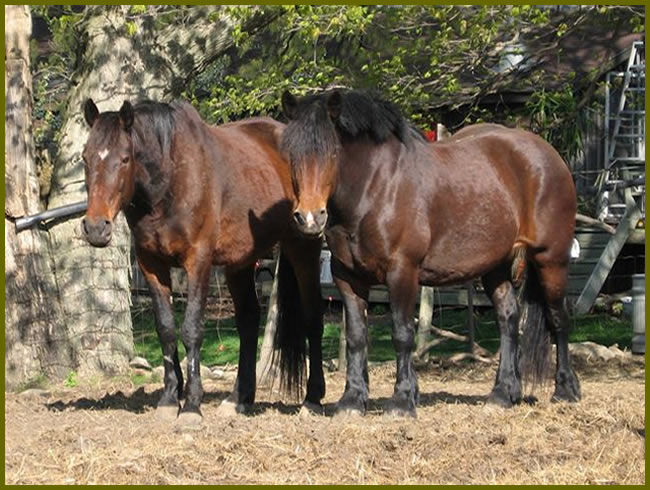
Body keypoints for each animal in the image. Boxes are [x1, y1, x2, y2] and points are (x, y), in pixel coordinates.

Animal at [81, 98, 325, 425]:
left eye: (125, 158)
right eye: (85, 158)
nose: (96, 227)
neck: (169, 184)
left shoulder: (198, 263)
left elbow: (191, 330)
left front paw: (192, 405)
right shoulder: (151, 265)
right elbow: (166, 329)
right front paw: (170, 399)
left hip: (303, 247)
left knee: (313, 316)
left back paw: (313, 399)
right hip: (241, 262)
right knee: (249, 321)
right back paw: (239, 399)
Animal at [280, 89, 581, 418]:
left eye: (333, 153)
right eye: (291, 154)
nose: (309, 218)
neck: (375, 188)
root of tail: (548, 154)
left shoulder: (402, 271)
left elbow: (402, 334)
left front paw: (402, 400)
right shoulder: (347, 276)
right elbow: (357, 337)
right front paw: (352, 399)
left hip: (551, 258)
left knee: (558, 318)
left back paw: (565, 390)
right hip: (495, 265)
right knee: (508, 318)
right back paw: (503, 393)